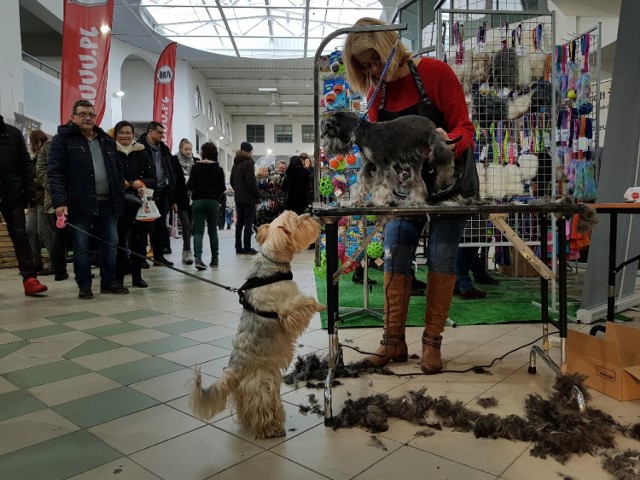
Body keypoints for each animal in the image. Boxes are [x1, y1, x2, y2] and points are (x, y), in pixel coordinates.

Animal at [188, 211, 322, 438]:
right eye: (297, 220)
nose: (309, 213)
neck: (271, 267)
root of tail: (232, 372)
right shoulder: (290, 311)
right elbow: (306, 302)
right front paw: (321, 304)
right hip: (262, 385)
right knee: (262, 409)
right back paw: (271, 428)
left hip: (246, 392)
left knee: (245, 409)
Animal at [322, 111, 458, 207]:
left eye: (327, 131)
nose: (326, 148)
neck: (361, 132)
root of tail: (432, 126)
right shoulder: (367, 166)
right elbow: (360, 185)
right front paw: (351, 202)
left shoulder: (382, 164)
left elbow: (382, 184)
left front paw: (379, 201)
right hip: (415, 161)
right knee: (417, 181)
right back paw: (416, 199)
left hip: (437, 147)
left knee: (446, 162)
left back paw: (445, 181)